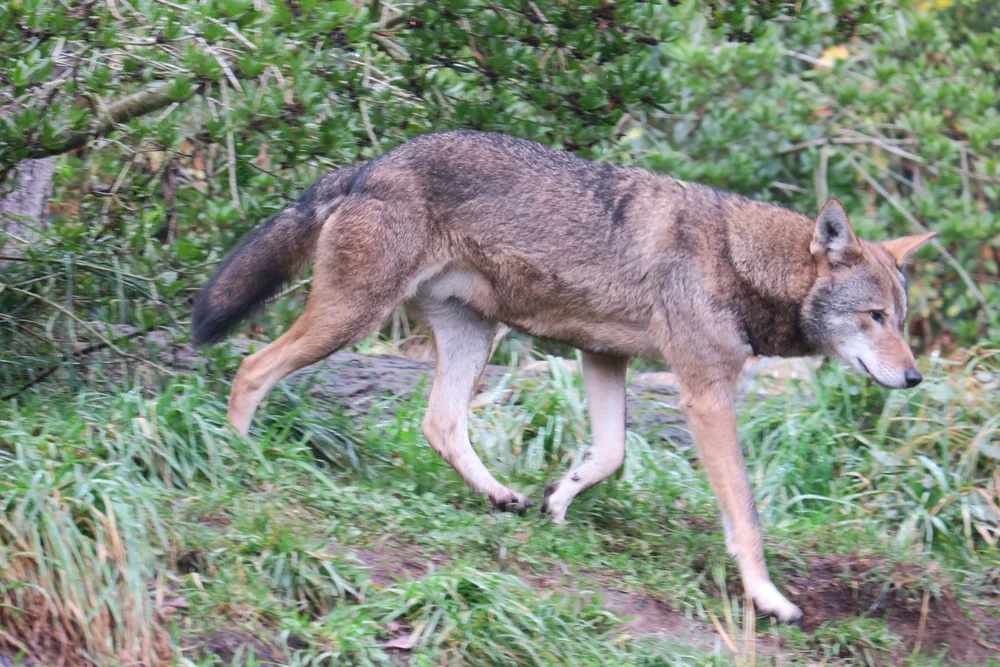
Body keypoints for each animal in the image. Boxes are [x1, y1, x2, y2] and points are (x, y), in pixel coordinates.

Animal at [191, 130, 934, 621]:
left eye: (901, 319)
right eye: (873, 317)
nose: (914, 379)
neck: (738, 261)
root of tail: (371, 164)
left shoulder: (604, 357)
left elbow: (610, 453)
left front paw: (558, 497)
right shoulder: (705, 393)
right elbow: (746, 517)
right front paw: (770, 599)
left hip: (471, 336)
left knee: (439, 423)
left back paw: (502, 496)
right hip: (351, 318)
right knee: (251, 367)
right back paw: (238, 458)